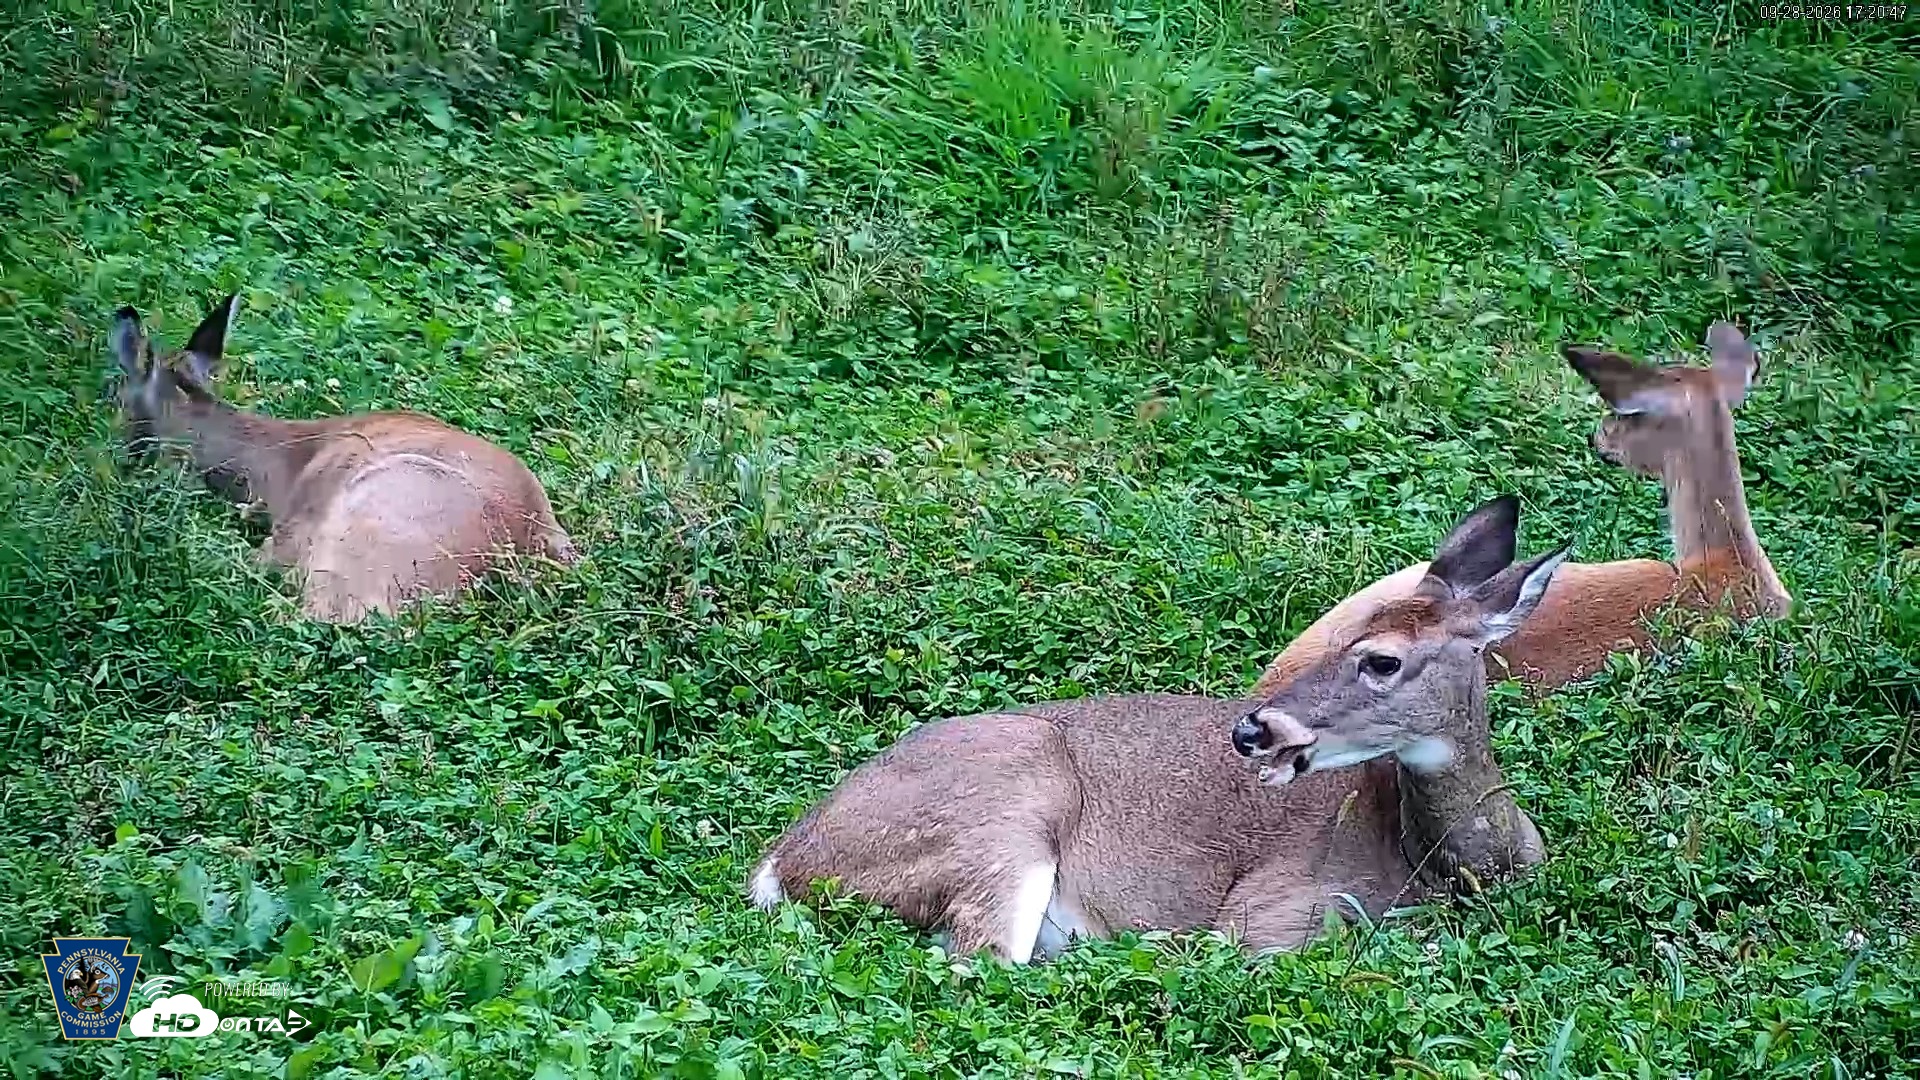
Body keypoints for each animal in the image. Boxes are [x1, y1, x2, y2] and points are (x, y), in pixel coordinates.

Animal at [748, 496, 1568, 961]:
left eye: (1382, 659)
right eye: (1338, 632)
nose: (1251, 730)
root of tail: (781, 864)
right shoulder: (1271, 912)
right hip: (1004, 815)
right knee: (979, 959)